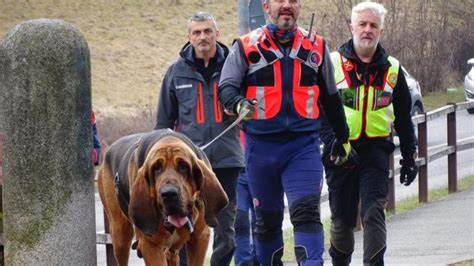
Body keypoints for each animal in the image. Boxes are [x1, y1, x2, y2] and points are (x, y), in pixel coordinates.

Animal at [97, 128, 228, 264]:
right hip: (120, 234)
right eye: (156, 168)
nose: (169, 194)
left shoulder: (200, 238)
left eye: (183, 166)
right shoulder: (150, 245)